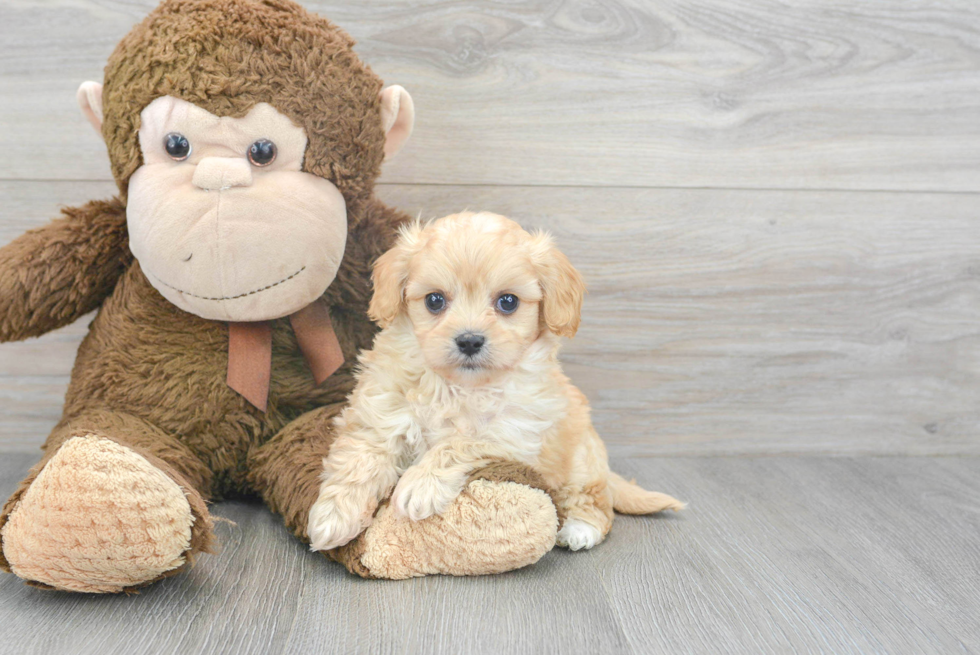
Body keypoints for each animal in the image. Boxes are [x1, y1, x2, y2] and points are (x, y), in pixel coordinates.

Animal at [308, 211, 680, 552]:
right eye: (434, 300)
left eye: (508, 302)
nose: (470, 340)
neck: (457, 386)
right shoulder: (381, 411)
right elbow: (359, 458)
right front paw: (333, 516)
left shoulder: (513, 430)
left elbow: (456, 443)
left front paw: (420, 485)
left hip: (580, 462)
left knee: (595, 501)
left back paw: (580, 529)